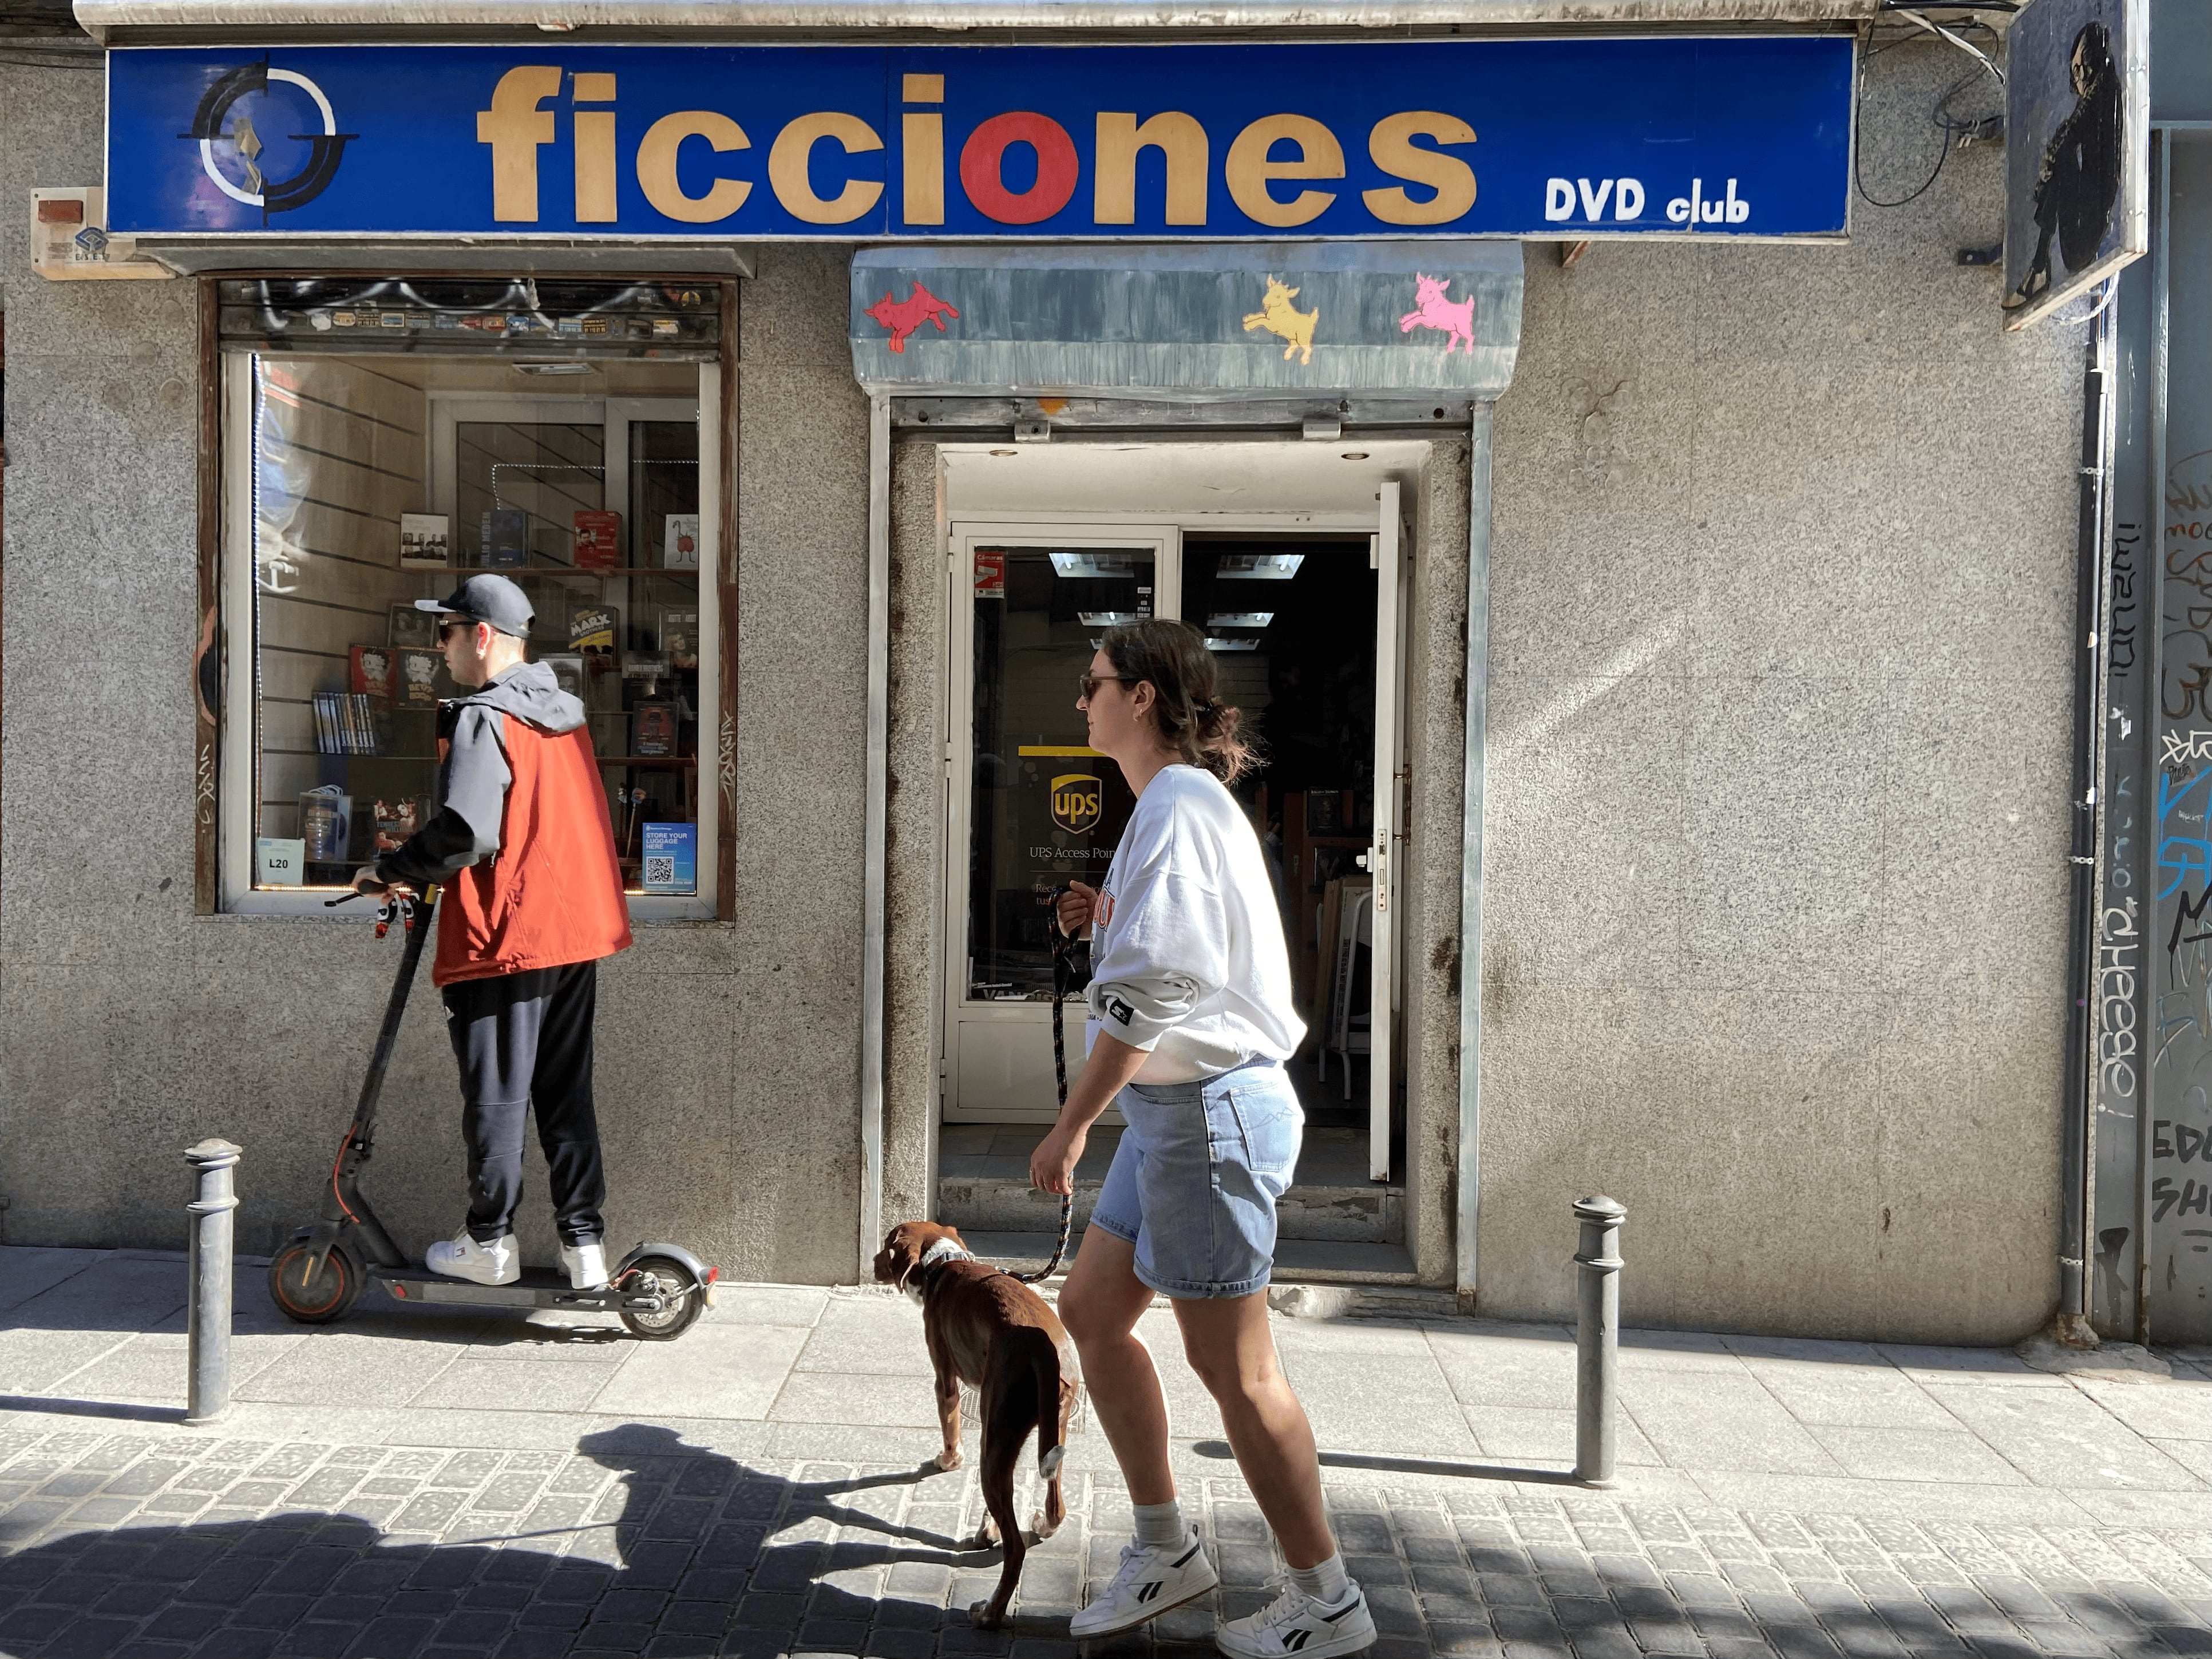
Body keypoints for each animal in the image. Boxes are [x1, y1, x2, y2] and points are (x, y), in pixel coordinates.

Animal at [871, 1212, 1079, 1628]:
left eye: (886, 1245)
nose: (871, 1263)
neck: (943, 1262)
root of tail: (1042, 1350)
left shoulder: (944, 1376)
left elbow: (949, 1424)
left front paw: (947, 1460)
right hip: (1053, 1432)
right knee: (1055, 1506)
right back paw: (1028, 1525)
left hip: (994, 1437)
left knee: (1015, 1548)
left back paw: (990, 1612)